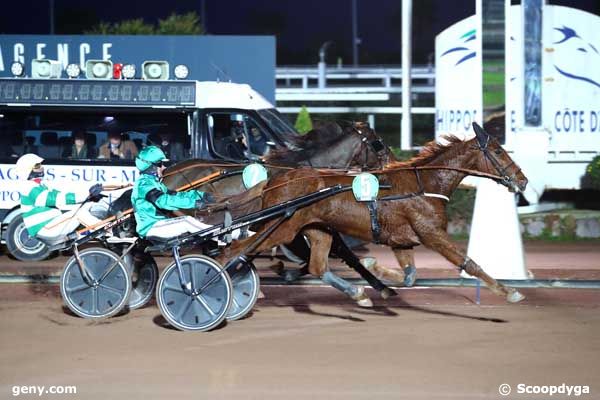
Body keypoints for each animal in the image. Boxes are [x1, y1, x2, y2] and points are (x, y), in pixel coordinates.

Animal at [218, 123, 528, 304]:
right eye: (498, 152)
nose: (522, 181)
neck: (425, 185)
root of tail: (275, 179)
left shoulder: (402, 241)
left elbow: (410, 277)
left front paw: (379, 274)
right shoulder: (431, 234)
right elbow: (469, 263)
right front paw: (509, 291)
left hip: (316, 230)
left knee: (318, 266)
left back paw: (355, 293)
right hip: (280, 228)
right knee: (233, 250)